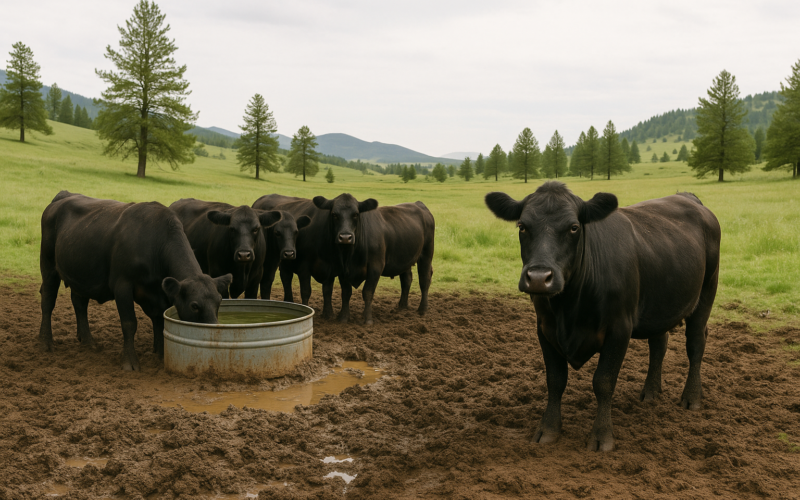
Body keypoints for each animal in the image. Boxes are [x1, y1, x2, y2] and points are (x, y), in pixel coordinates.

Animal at [39, 191, 232, 371]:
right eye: (194, 305)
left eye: (219, 301)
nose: (213, 330)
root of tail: (64, 196)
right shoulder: (122, 285)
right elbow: (129, 323)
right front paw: (130, 362)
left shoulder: (160, 292)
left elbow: (159, 321)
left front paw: (160, 354)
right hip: (48, 266)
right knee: (48, 300)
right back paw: (46, 342)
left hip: (80, 274)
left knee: (79, 303)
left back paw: (87, 341)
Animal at [253, 193, 435, 325]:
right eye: (334, 214)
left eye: (356, 214)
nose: (345, 237)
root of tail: (418, 204)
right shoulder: (326, 268)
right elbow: (330, 291)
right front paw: (339, 317)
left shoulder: (373, 267)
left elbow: (366, 292)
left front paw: (366, 320)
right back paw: (402, 306)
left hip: (426, 254)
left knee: (424, 279)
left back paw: (422, 309)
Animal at [485, 181, 720, 452]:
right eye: (522, 226)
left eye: (574, 227)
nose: (538, 278)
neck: (568, 309)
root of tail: (688, 198)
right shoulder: (544, 328)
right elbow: (555, 380)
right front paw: (548, 429)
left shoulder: (619, 329)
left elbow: (603, 382)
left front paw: (601, 436)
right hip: (660, 306)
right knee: (659, 345)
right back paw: (650, 392)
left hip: (707, 290)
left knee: (696, 343)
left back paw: (691, 397)